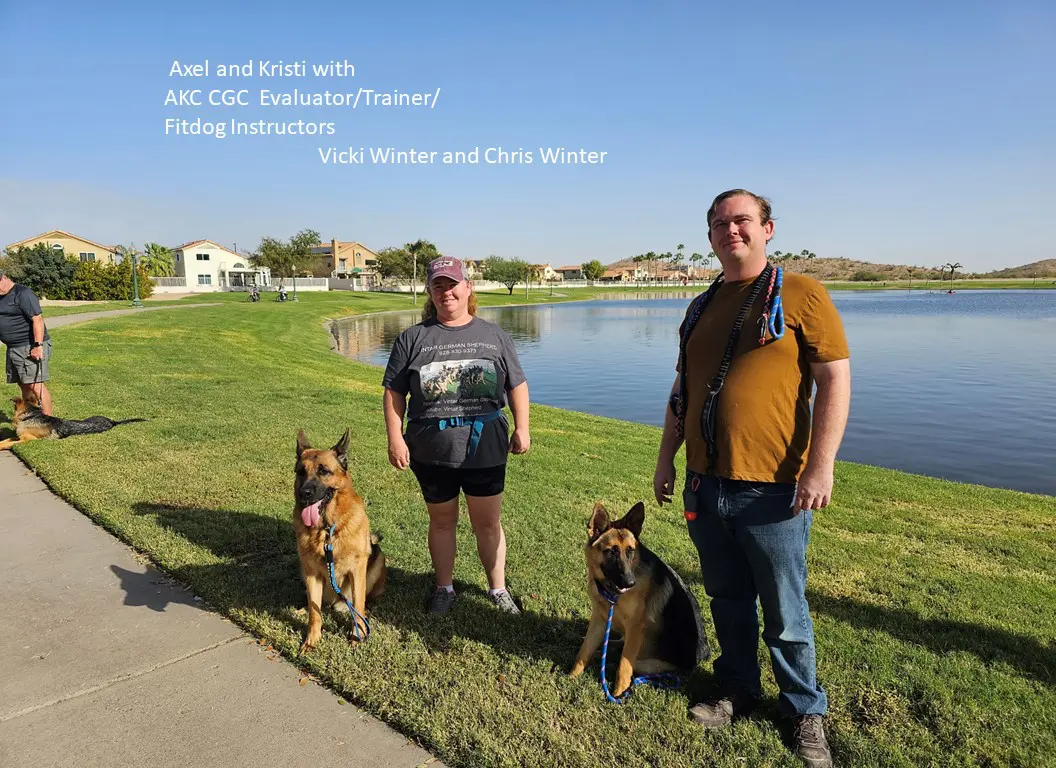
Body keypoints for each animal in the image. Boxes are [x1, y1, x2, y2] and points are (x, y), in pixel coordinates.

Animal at [0, 390, 146, 450]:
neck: (31, 415)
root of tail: (112, 421)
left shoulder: (28, 440)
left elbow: (10, 444)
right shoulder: (18, 436)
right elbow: (6, 440)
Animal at [291, 428, 386, 650]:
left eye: (324, 471)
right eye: (301, 471)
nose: (304, 493)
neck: (327, 530)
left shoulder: (357, 569)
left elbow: (358, 605)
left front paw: (358, 635)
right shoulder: (311, 573)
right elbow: (314, 611)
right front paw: (312, 640)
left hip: (377, 560)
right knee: (318, 604)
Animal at [570, 500, 709, 701]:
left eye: (630, 551)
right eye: (611, 552)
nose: (630, 582)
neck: (612, 592)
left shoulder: (636, 628)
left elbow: (624, 666)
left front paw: (618, 694)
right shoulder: (599, 619)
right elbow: (584, 650)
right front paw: (571, 676)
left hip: (646, 662)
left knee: (625, 658)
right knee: (616, 645)